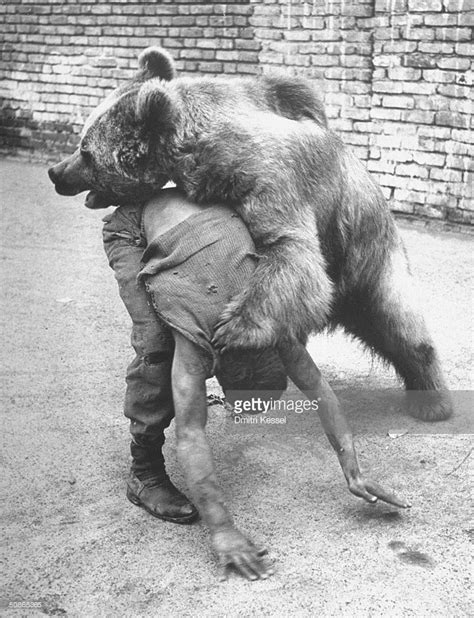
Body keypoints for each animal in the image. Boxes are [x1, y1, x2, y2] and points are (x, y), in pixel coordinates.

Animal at [48, 47, 452, 424]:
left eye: (86, 151)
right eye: (82, 140)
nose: (56, 172)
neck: (199, 150)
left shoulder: (270, 179)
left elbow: (292, 252)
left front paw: (233, 330)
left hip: (365, 252)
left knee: (398, 322)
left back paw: (431, 400)